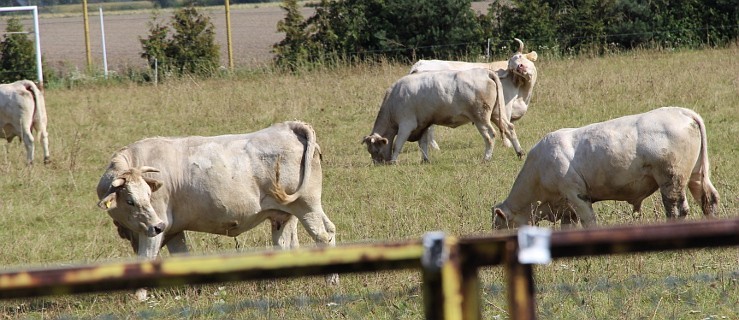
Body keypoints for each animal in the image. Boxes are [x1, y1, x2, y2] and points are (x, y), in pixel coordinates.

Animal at [98, 120, 338, 300]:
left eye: (148, 195)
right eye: (130, 200)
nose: (157, 226)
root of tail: (289, 126)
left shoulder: (155, 229)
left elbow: (145, 257)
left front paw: (139, 297)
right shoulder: (173, 230)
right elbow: (182, 256)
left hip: (306, 206)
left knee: (322, 236)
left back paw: (331, 281)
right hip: (288, 213)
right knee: (303, 238)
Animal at [362, 67, 524, 162]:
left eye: (375, 150)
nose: (378, 165)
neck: (394, 100)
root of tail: (485, 72)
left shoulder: (406, 124)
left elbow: (397, 144)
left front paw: (393, 161)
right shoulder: (423, 124)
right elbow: (423, 143)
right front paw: (425, 160)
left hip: (481, 117)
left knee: (490, 135)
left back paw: (486, 158)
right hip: (495, 113)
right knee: (509, 128)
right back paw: (519, 152)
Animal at [494, 107, 720, 230]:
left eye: (499, 226)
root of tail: (681, 111)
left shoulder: (576, 195)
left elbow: (589, 221)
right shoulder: (566, 208)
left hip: (671, 179)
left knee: (676, 209)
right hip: (696, 175)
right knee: (708, 200)